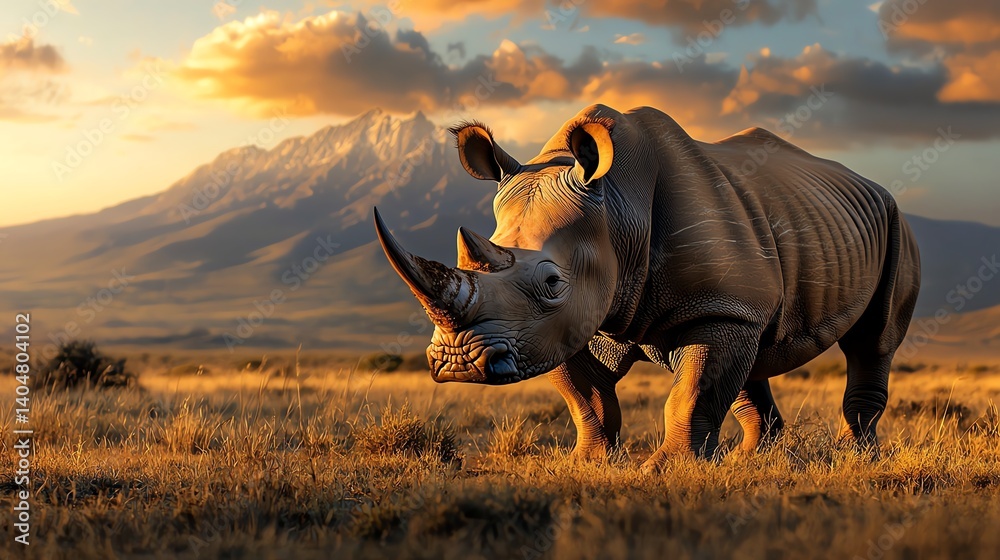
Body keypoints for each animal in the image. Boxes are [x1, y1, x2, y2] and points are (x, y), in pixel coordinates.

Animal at [373, 104, 921, 472]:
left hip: (894, 221)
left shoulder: (706, 306)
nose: (458, 363)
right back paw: (751, 460)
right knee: (755, 345)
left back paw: (856, 456)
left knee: (872, 342)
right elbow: (585, 397)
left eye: (552, 282)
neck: (617, 209)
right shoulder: (563, 323)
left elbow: (692, 392)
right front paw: (587, 463)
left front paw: (669, 470)